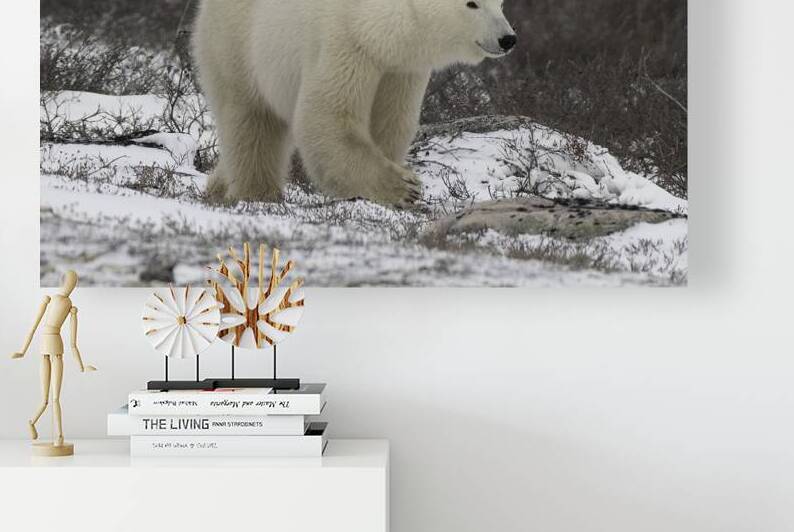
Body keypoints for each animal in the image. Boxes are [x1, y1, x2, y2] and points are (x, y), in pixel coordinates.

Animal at [193, 0, 517, 206]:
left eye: (500, 3)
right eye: (472, 3)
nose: (508, 39)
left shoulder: (401, 69)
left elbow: (391, 123)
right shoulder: (346, 44)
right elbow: (327, 117)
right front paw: (404, 187)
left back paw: (217, 186)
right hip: (238, 44)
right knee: (253, 120)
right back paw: (258, 192)